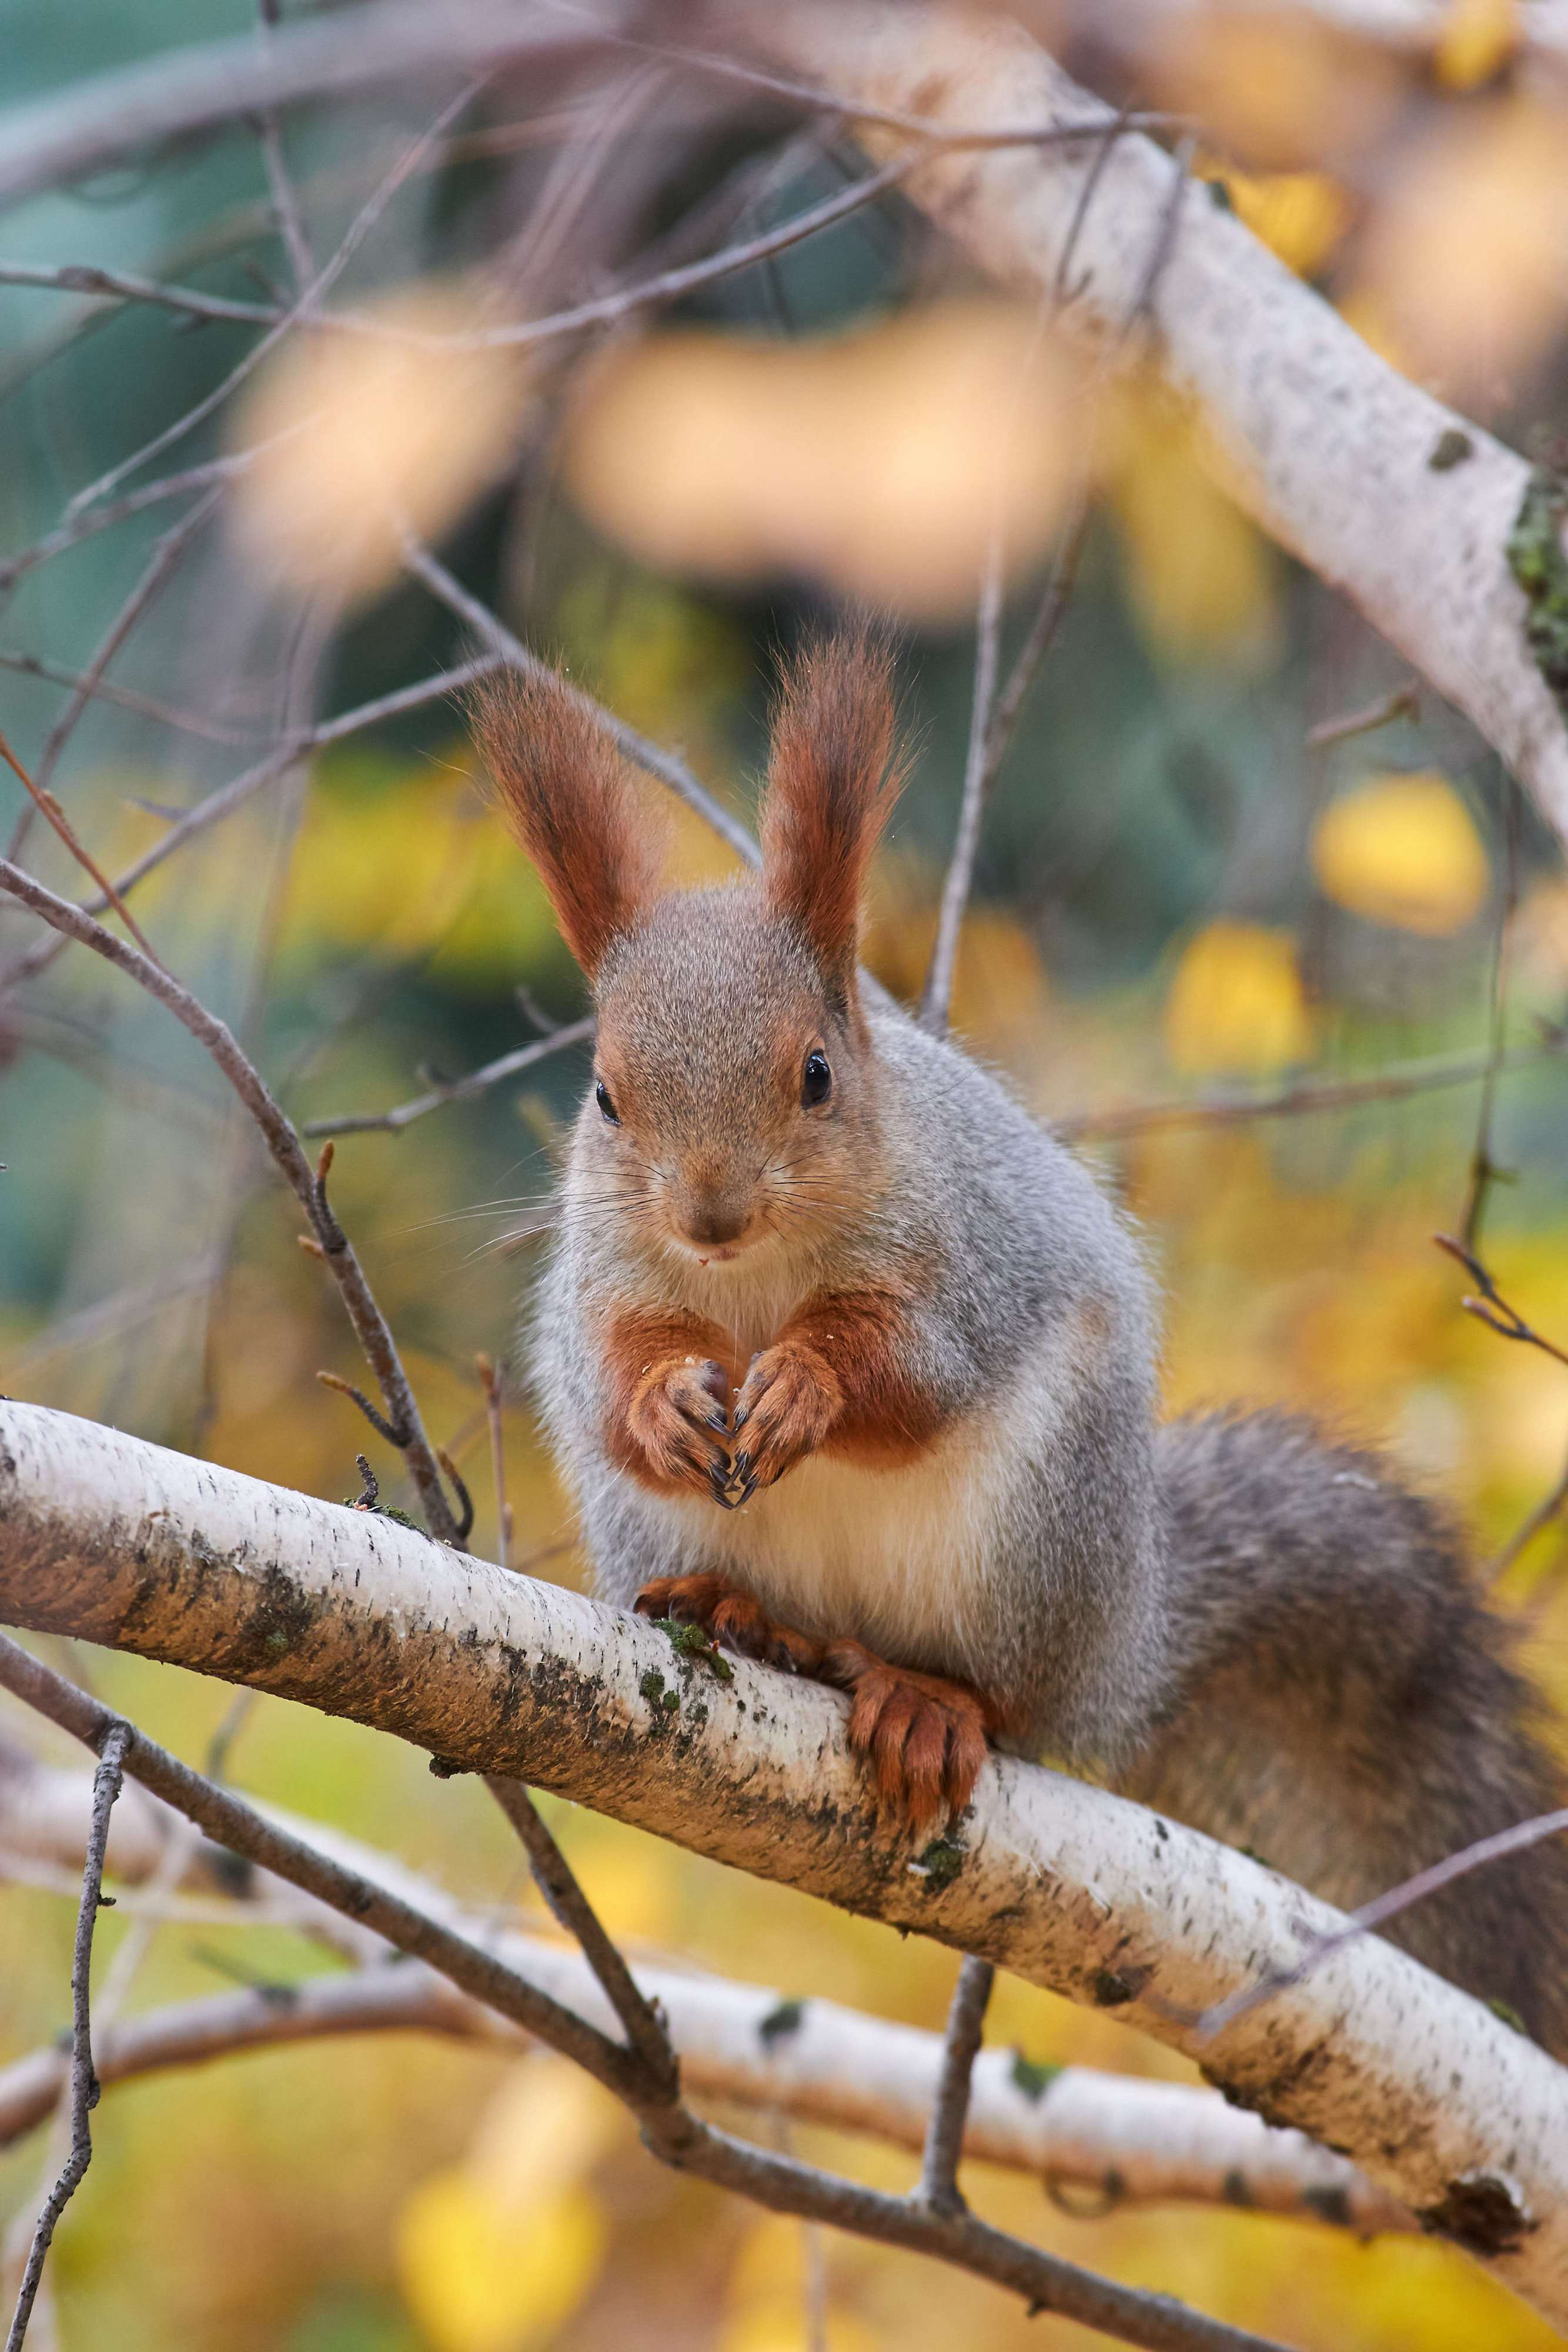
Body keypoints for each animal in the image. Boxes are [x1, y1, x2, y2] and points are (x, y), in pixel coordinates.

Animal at [472, 630, 1568, 2060]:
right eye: (605, 1096)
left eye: (816, 1074)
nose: (709, 1216)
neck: (755, 1279)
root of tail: (1125, 1643)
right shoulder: (599, 1286)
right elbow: (607, 1374)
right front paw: (666, 1403)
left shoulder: (973, 1258)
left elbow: (914, 1372)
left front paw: (807, 1385)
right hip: (663, 1529)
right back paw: (740, 1615)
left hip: (1029, 1547)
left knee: (1009, 1703)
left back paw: (927, 1702)